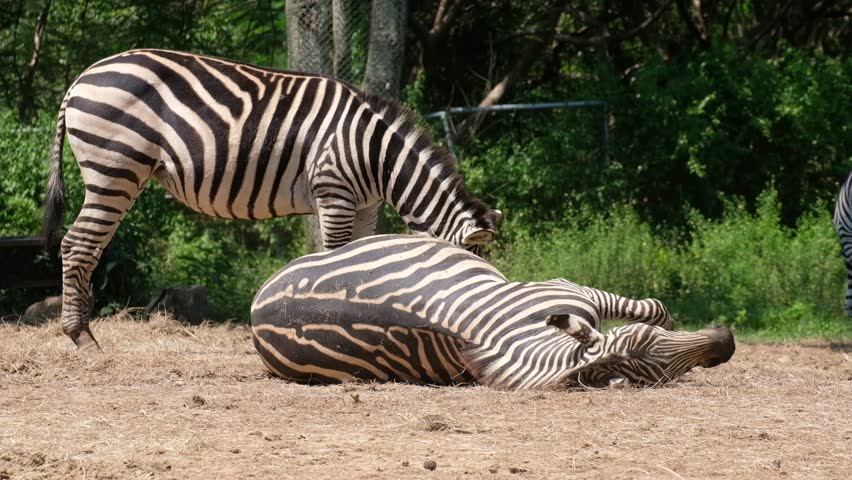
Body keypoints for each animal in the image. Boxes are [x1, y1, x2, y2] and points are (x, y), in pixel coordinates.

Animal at [43, 49, 501, 352]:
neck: (376, 155)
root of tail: (81, 79)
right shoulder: (334, 192)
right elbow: (335, 260)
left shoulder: (367, 207)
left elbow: (362, 262)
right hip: (115, 168)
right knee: (78, 245)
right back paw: (81, 338)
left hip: (118, 173)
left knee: (86, 246)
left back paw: (83, 331)